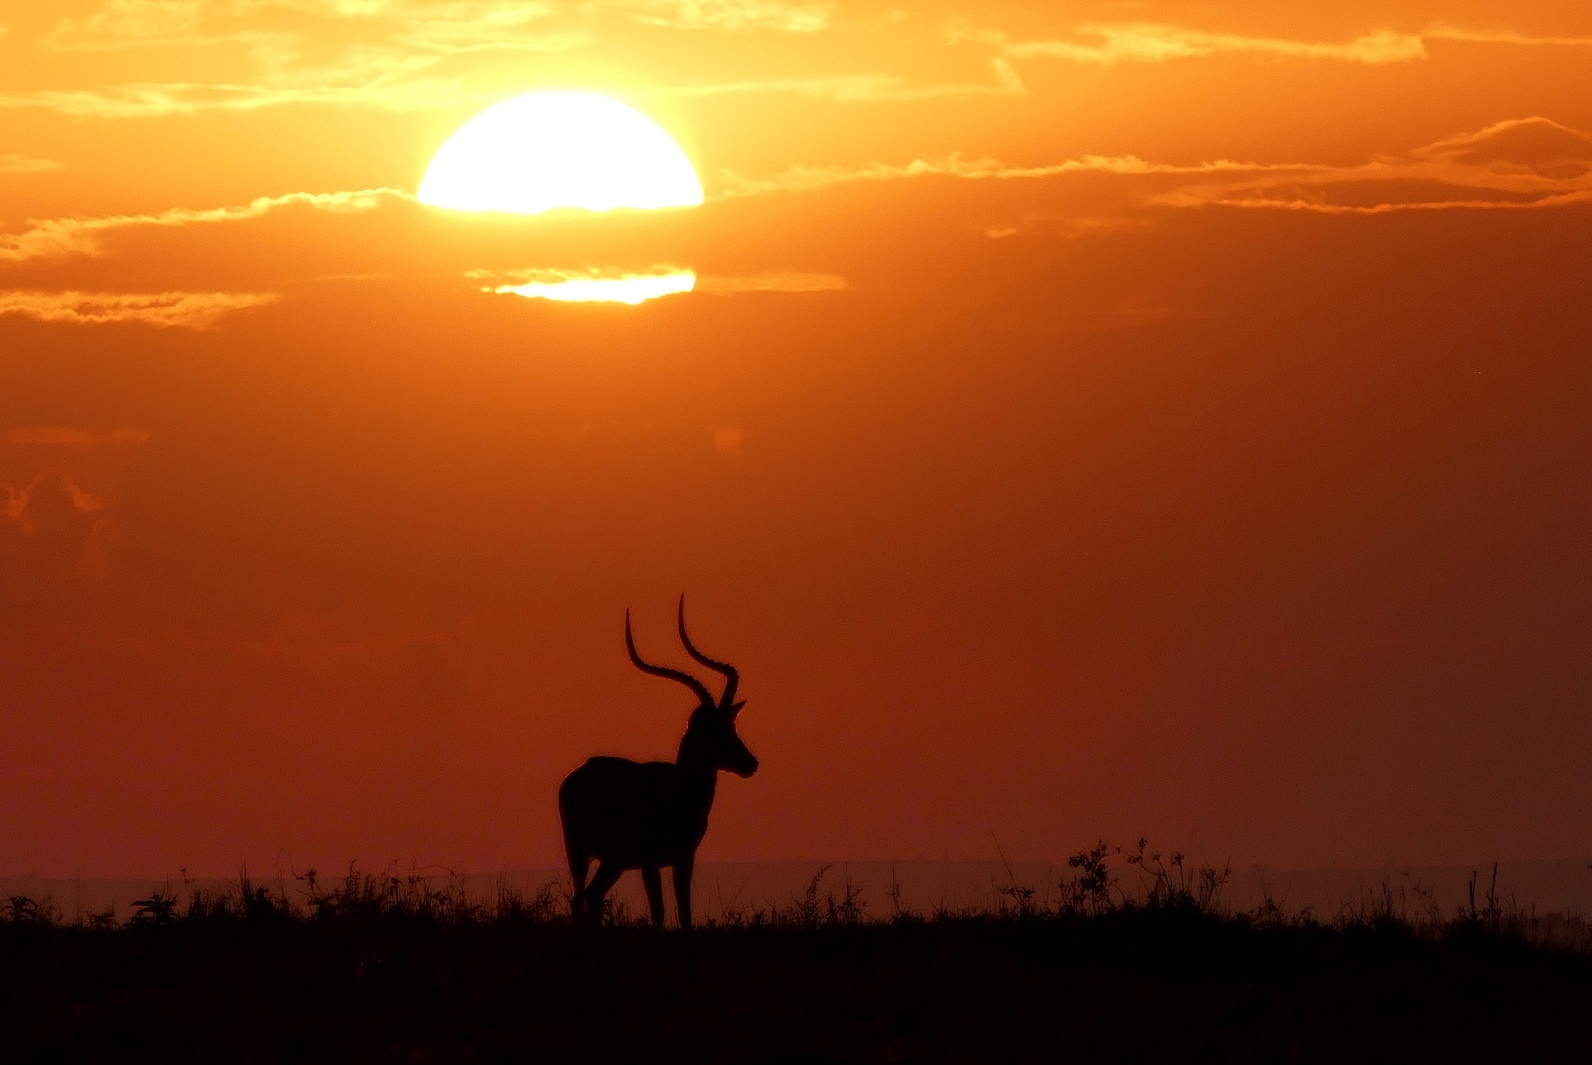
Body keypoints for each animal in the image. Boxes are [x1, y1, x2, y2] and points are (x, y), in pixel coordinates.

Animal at [559, 597, 757, 929]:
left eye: (731, 727)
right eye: (713, 730)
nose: (750, 764)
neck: (678, 792)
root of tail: (578, 773)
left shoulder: (683, 859)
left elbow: (685, 912)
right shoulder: (649, 861)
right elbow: (659, 912)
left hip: (614, 860)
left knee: (592, 894)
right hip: (580, 850)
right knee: (577, 898)